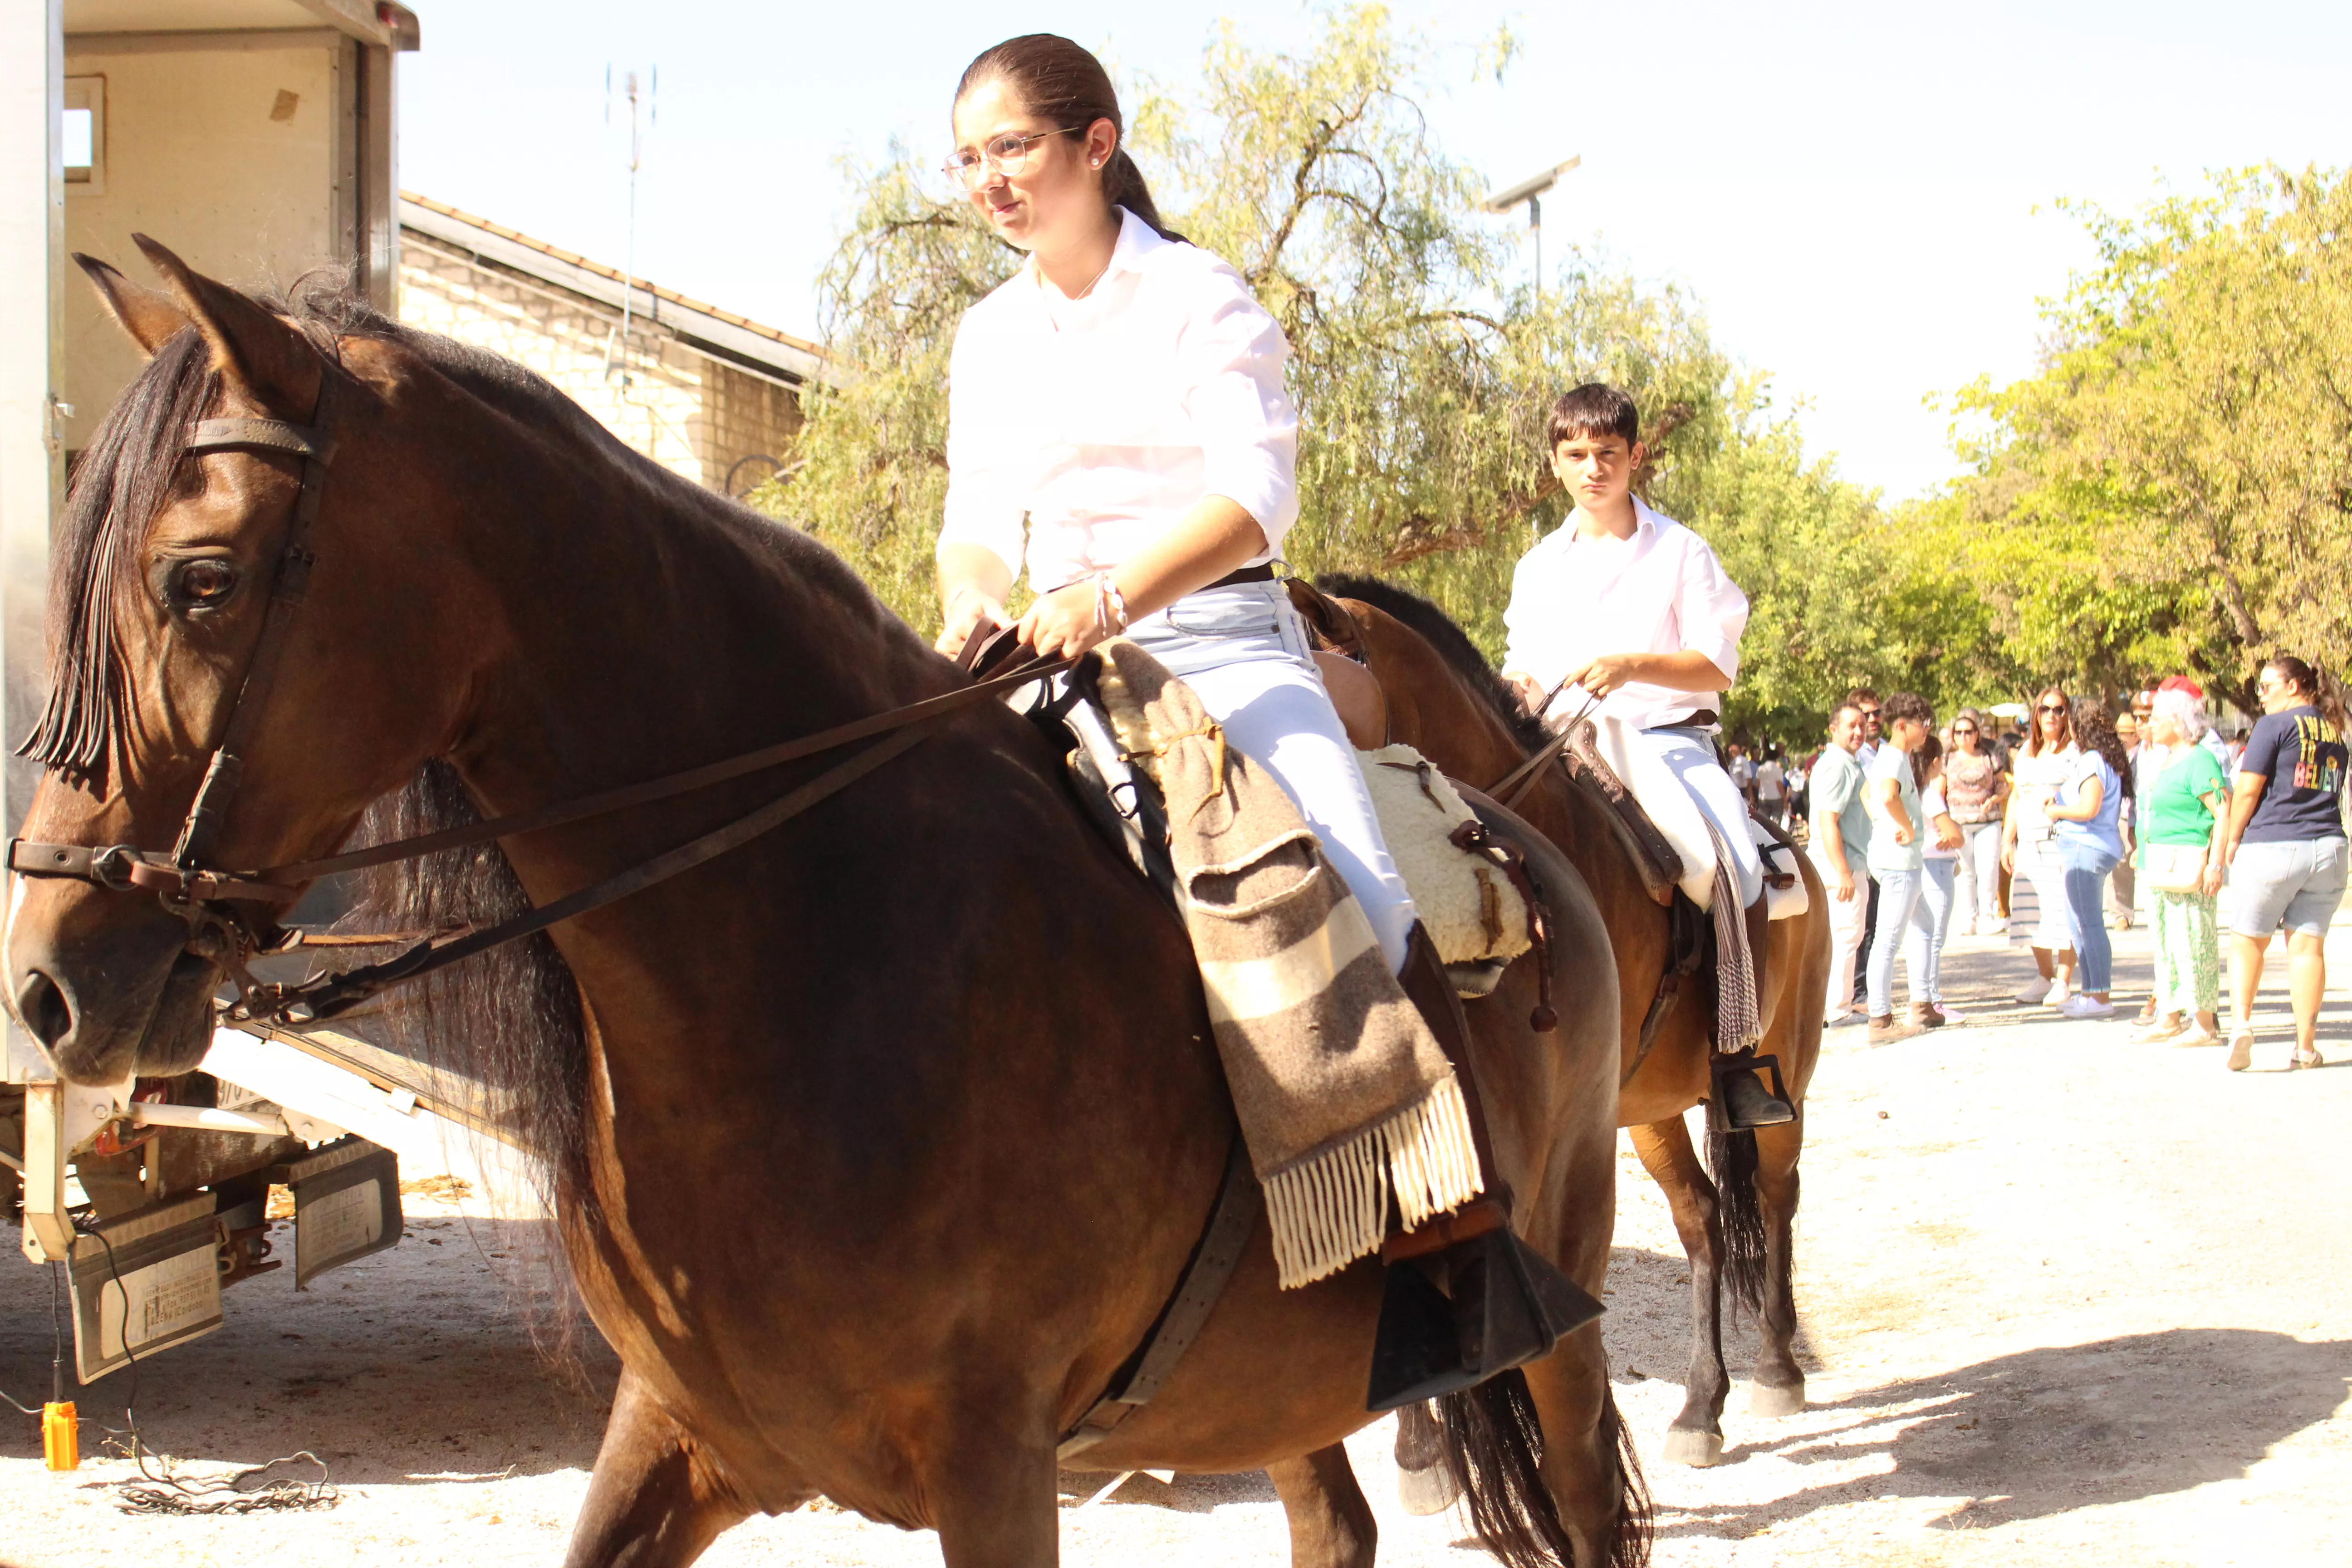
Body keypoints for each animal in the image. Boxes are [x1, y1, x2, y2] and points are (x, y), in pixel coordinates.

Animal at [5, 240, 1637, 1561]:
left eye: (201, 580)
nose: (49, 988)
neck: (813, 958)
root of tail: (1535, 835)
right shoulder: (677, 1439)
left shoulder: (995, 1468)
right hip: (1274, 1384)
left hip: (1554, 1325)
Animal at [1317, 576, 1825, 1476]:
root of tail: (1789, 846)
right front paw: (1422, 1451)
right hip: (1649, 1110)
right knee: (1701, 1220)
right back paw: (1701, 1404)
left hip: (1786, 1076)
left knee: (1772, 1197)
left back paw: (1774, 1365)